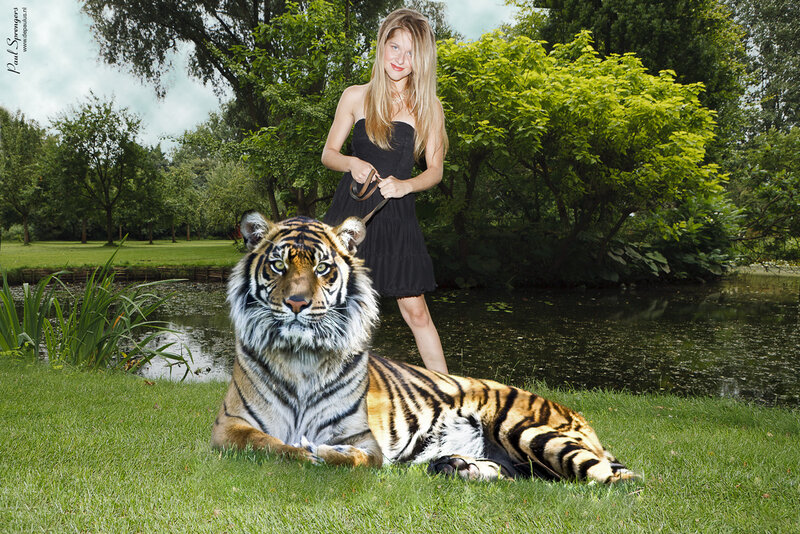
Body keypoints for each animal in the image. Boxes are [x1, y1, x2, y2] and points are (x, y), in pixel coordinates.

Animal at [211, 212, 638, 483]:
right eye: (278, 266)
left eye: (322, 268)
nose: (297, 303)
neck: (301, 357)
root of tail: (577, 414)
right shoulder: (230, 427)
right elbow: (271, 445)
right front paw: (304, 450)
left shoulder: (364, 438)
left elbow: (353, 458)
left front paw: (328, 454)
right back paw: (457, 467)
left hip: (532, 432)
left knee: (617, 480)